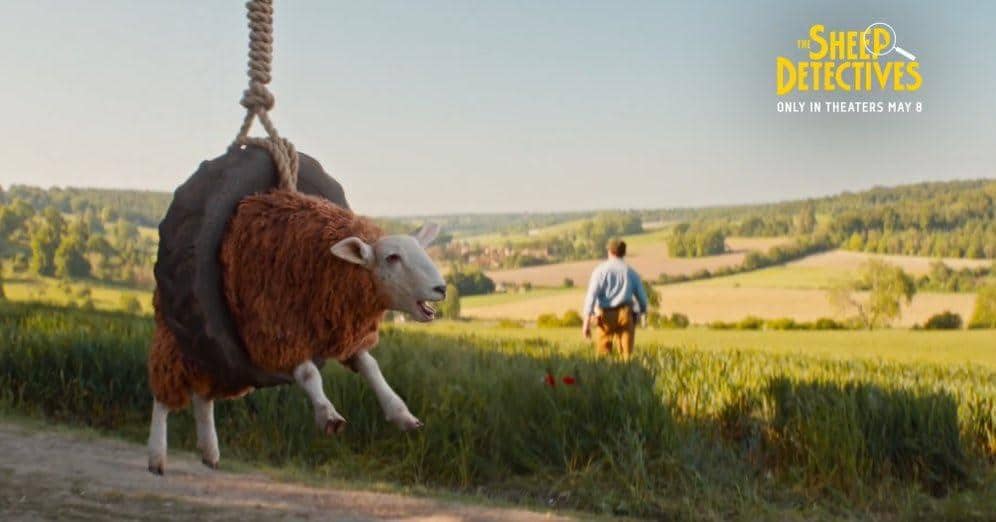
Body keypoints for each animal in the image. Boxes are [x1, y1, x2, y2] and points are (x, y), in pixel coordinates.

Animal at [146, 189, 446, 474]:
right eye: (392, 257)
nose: (441, 288)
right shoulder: (278, 331)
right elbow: (309, 374)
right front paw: (328, 416)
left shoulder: (342, 333)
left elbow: (371, 367)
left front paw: (402, 415)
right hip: (178, 341)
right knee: (163, 395)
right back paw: (157, 456)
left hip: (218, 358)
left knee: (203, 395)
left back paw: (209, 451)